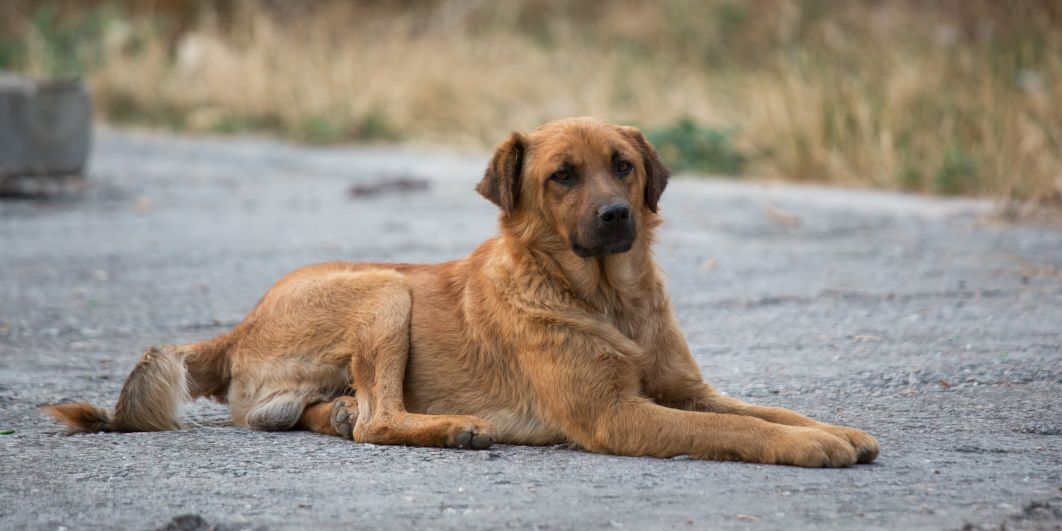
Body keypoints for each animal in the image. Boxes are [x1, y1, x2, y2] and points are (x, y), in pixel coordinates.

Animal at [45, 118, 879, 467]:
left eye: (623, 166)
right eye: (562, 176)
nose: (616, 216)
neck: (608, 297)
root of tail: (238, 326)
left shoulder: (686, 389)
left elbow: (764, 409)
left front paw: (836, 428)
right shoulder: (618, 414)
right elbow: (740, 429)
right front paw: (813, 446)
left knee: (337, 414)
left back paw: (339, 410)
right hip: (385, 289)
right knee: (379, 421)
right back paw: (450, 428)